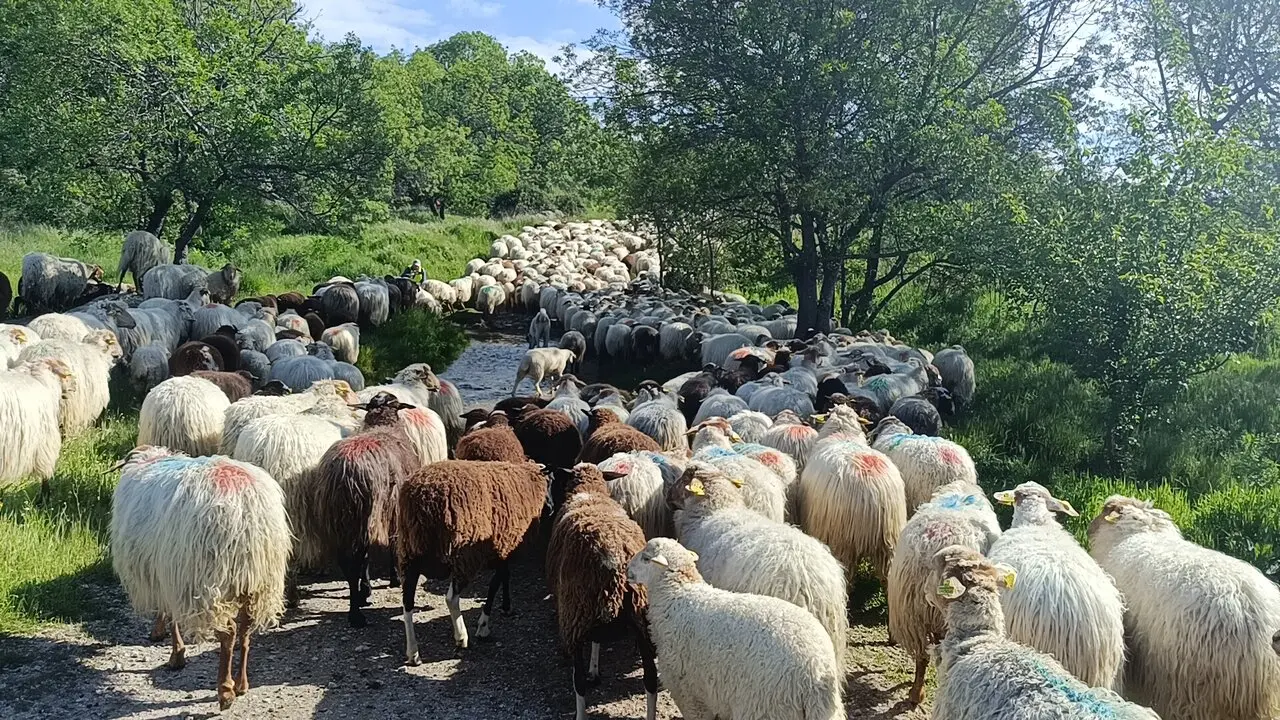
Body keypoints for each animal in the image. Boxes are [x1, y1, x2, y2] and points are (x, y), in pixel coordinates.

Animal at [110, 447, 290, 710]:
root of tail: (246, 507)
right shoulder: (167, 573)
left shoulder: (168, 575)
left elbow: (169, 615)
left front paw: (175, 653)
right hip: (257, 581)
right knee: (245, 631)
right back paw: (242, 684)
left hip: (206, 582)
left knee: (229, 633)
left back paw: (225, 691)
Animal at [309, 392, 421, 627]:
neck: (383, 424)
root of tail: (343, 471)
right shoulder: (394, 510)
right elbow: (393, 544)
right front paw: (394, 578)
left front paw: (366, 589)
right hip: (360, 515)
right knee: (355, 560)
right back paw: (356, 614)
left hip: (341, 520)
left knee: (347, 562)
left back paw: (358, 600)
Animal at [398, 460, 548, 654]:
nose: (552, 508)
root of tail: (422, 496)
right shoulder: (504, 548)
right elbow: (495, 584)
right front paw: (484, 625)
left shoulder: (503, 550)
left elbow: (504, 577)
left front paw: (506, 606)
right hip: (464, 554)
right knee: (451, 598)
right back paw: (461, 637)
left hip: (410, 553)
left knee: (407, 603)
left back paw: (413, 652)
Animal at [545, 464, 656, 720]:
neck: (590, 493)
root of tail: (616, 559)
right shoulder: (594, 605)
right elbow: (597, 639)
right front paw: (595, 669)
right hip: (642, 617)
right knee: (651, 679)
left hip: (574, 614)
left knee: (578, 682)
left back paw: (580, 713)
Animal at [627, 538, 845, 720]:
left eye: (646, 558)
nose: (627, 569)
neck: (678, 594)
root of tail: (817, 672)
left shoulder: (689, 692)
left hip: (766, 707)